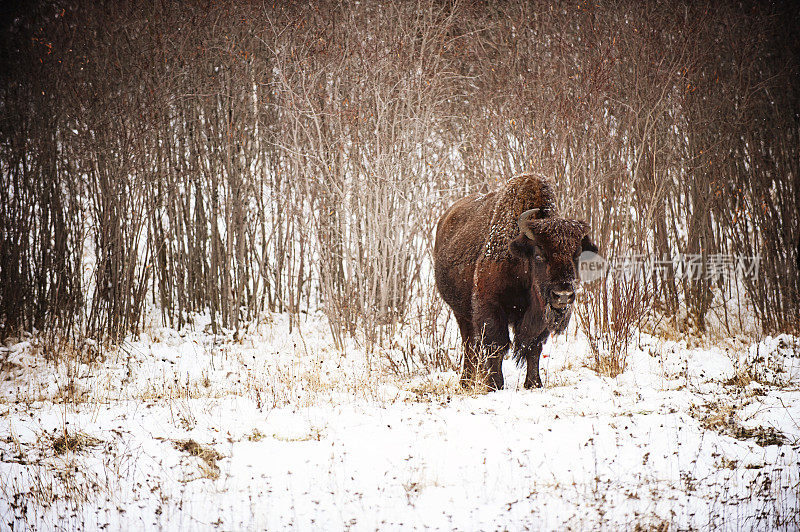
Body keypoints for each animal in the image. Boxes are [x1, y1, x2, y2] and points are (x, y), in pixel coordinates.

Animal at [434, 175, 596, 390]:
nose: (563, 295)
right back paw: (467, 381)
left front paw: (534, 383)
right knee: (469, 343)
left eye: (576, 254)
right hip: (460, 312)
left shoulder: (539, 316)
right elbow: (497, 345)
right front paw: (495, 384)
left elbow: (533, 347)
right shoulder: (491, 308)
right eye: (539, 254)